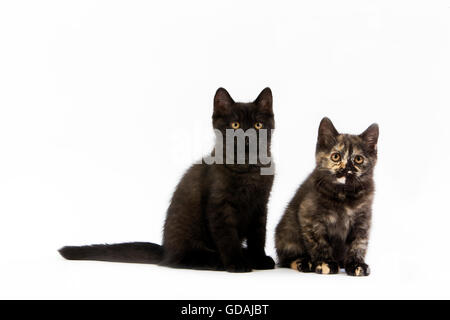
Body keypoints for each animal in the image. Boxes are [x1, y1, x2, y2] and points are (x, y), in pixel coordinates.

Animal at [58, 87, 276, 272]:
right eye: (235, 125)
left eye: (258, 125)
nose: (248, 139)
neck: (248, 170)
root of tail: (165, 250)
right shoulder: (220, 207)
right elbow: (227, 237)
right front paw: (237, 263)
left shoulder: (261, 205)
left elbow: (258, 236)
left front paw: (258, 259)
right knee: (183, 259)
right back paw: (219, 260)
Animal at [276, 117, 378, 276]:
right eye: (336, 156)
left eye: (358, 159)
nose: (347, 169)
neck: (344, 194)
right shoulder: (309, 217)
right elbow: (319, 242)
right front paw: (326, 262)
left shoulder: (363, 219)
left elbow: (359, 242)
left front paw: (356, 264)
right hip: (288, 233)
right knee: (286, 259)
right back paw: (304, 262)